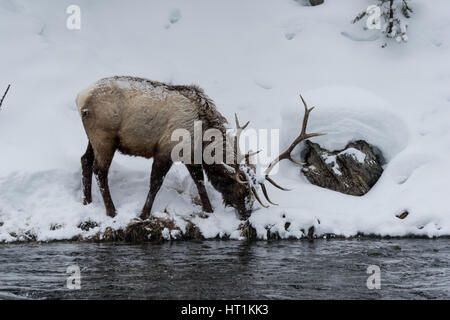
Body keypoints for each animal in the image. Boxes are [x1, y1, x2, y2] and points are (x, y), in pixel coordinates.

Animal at [77, 76, 324, 220]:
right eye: (243, 190)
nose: (246, 215)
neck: (202, 138)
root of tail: (80, 98)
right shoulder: (165, 150)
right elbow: (155, 183)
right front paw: (144, 214)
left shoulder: (190, 156)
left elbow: (199, 180)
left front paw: (208, 209)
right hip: (104, 136)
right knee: (100, 170)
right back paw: (111, 211)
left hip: (93, 138)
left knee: (85, 160)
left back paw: (87, 202)